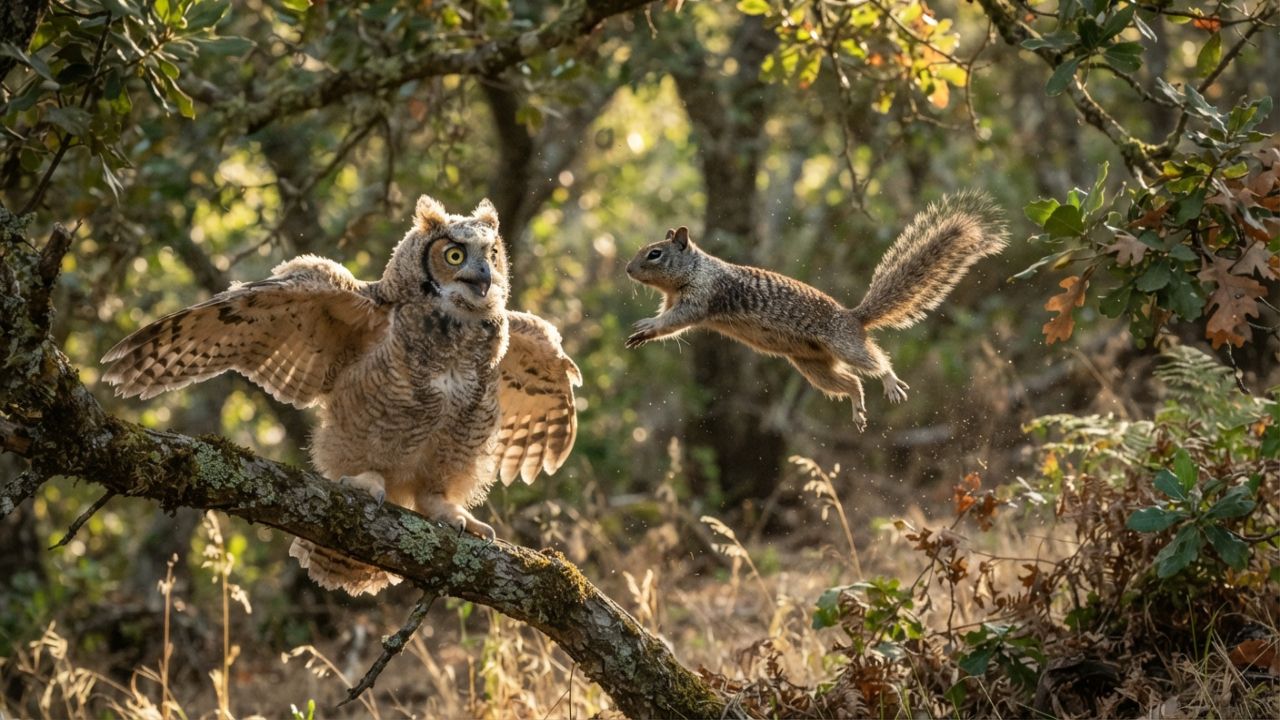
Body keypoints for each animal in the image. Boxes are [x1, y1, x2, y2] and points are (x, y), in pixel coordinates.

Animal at [623, 191, 1008, 430]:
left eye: (655, 253)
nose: (627, 269)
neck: (694, 270)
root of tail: (855, 317)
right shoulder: (679, 300)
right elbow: (671, 324)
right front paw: (642, 333)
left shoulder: (699, 299)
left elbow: (676, 322)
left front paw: (645, 324)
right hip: (813, 367)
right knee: (851, 382)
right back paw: (858, 410)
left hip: (843, 345)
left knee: (874, 362)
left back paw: (889, 382)